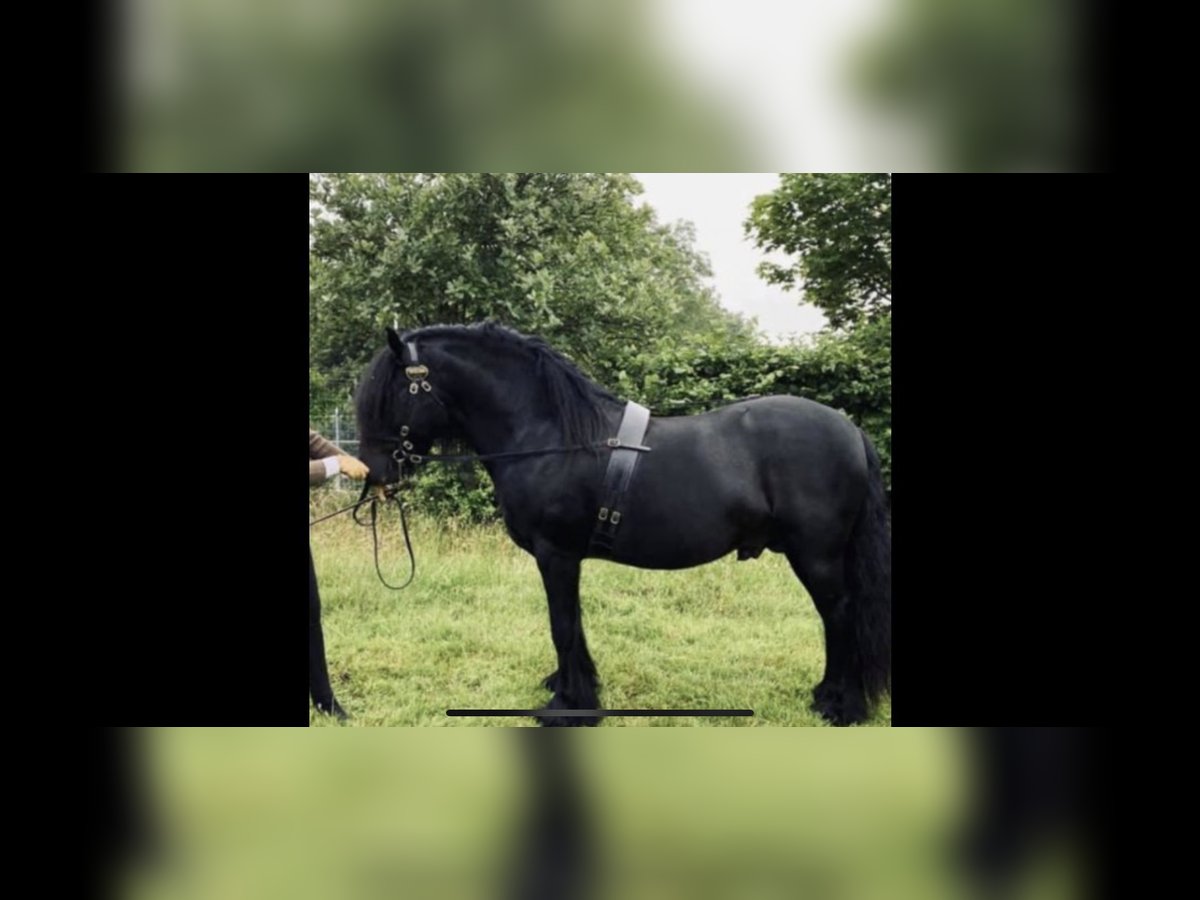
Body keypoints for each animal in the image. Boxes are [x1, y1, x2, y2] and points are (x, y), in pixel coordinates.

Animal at [354, 323, 890, 725]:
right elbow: (572, 625)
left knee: (839, 615)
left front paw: (568, 706)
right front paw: (572, 687)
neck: (548, 436)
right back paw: (825, 696)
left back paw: (841, 706)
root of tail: (849, 429)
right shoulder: (563, 559)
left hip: (816, 555)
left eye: (392, 392)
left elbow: (562, 625)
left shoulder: (556, 554)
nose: (374, 474)